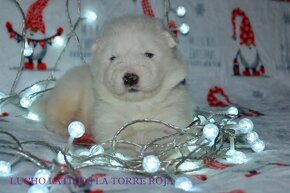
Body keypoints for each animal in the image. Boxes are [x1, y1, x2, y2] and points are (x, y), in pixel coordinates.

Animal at [31, 15, 193, 144]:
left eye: (149, 54)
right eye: (113, 58)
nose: (130, 78)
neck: (138, 104)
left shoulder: (172, 115)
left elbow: (165, 135)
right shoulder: (109, 120)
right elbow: (120, 140)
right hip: (70, 90)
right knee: (54, 112)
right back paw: (61, 127)